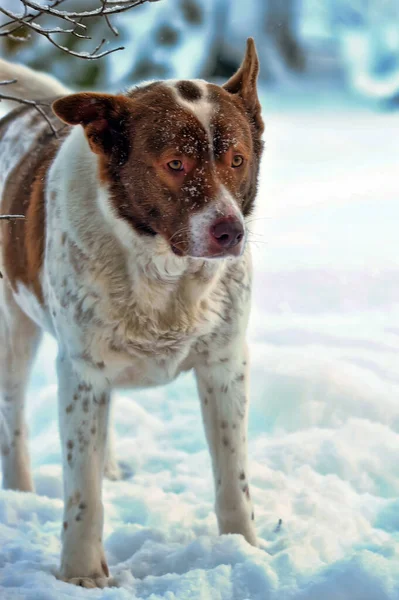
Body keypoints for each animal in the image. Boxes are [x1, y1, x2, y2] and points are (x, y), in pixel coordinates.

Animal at [0, 39, 266, 588]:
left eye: (237, 159)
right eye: (175, 164)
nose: (231, 232)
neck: (163, 272)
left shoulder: (225, 364)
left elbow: (233, 477)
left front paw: (244, 551)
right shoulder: (81, 369)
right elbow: (82, 492)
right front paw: (80, 573)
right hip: (16, 328)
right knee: (14, 415)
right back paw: (19, 490)